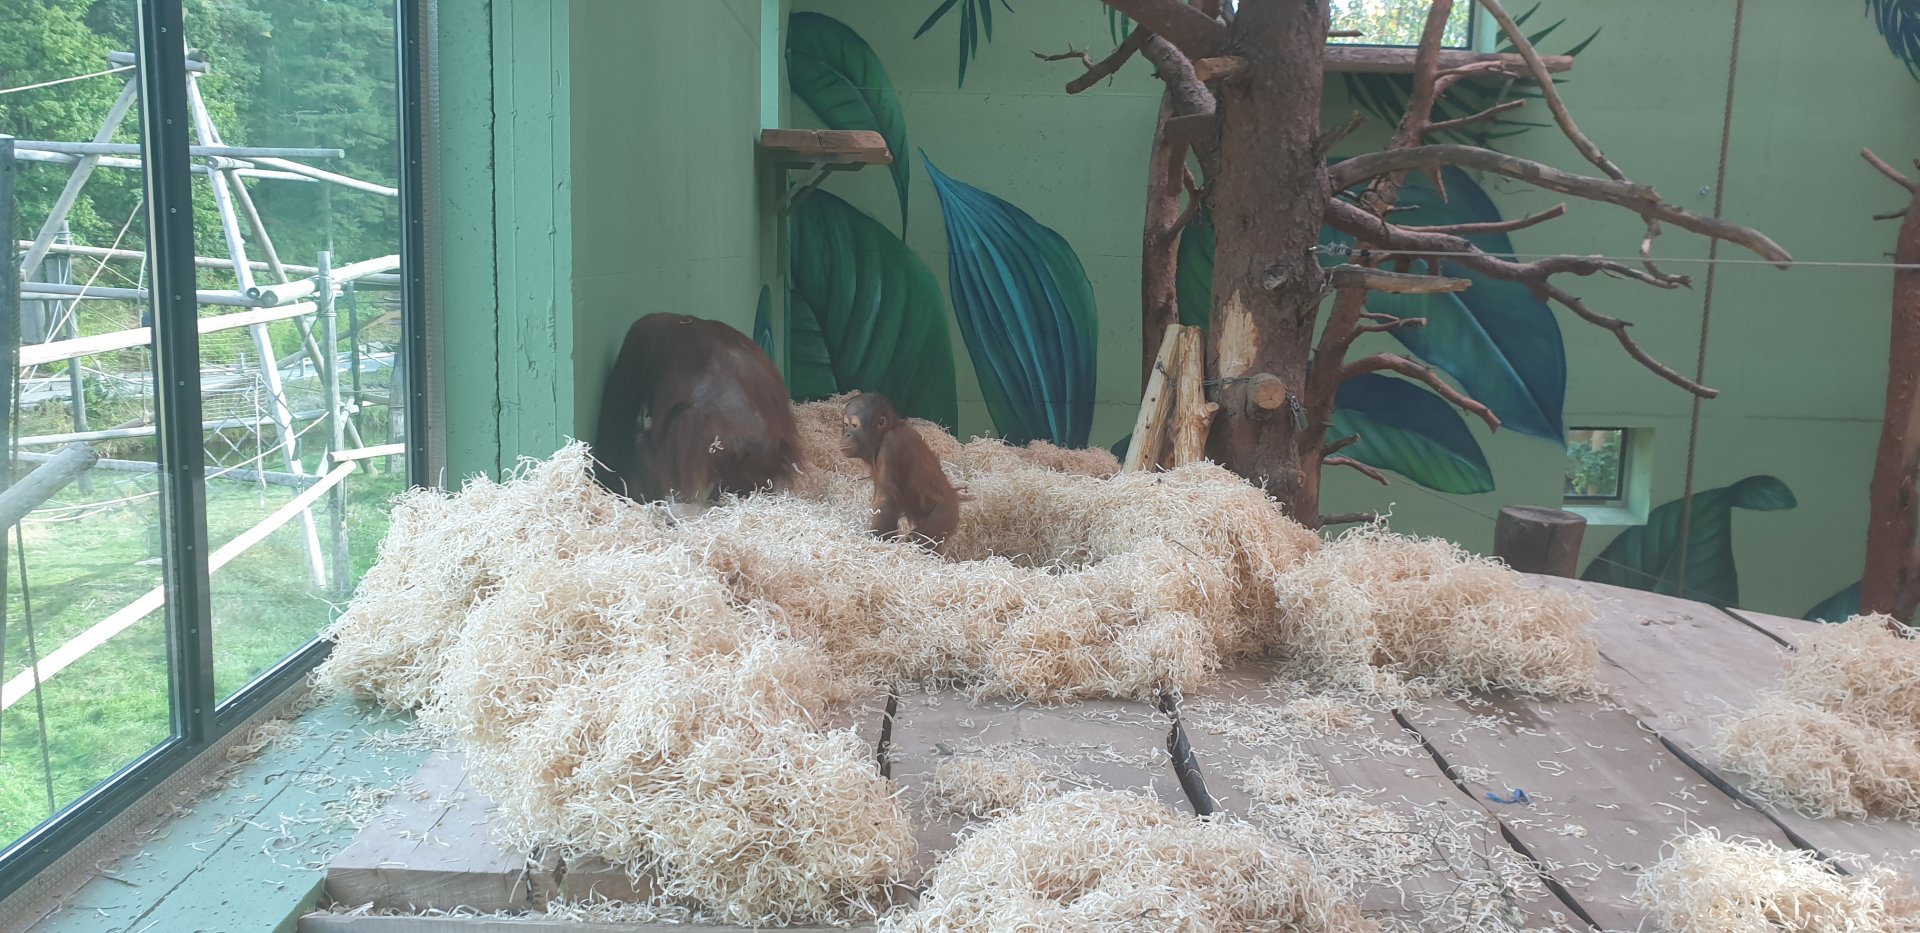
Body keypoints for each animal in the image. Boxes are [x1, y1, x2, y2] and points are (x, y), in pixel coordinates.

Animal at [839, 392, 966, 555]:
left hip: (944, 516)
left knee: (918, 538)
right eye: (846, 425)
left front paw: (876, 541)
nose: (847, 434)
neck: (885, 433)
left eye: (854, 426)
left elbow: (886, 501)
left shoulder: (891, 446)